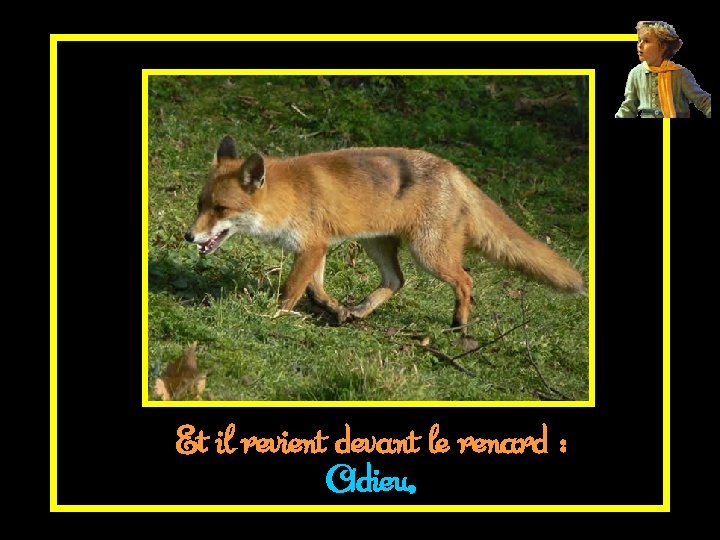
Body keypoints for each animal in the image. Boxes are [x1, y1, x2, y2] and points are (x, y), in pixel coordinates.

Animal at [185, 135, 585, 329]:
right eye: (200, 205)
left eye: (221, 210)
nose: (189, 237)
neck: (289, 196)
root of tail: (452, 169)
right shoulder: (317, 246)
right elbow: (316, 289)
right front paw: (335, 309)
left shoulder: (311, 246)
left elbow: (292, 291)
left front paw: (274, 318)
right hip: (376, 244)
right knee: (396, 281)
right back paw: (361, 311)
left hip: (429, 254)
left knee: (465, 279)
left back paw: (459, 325)